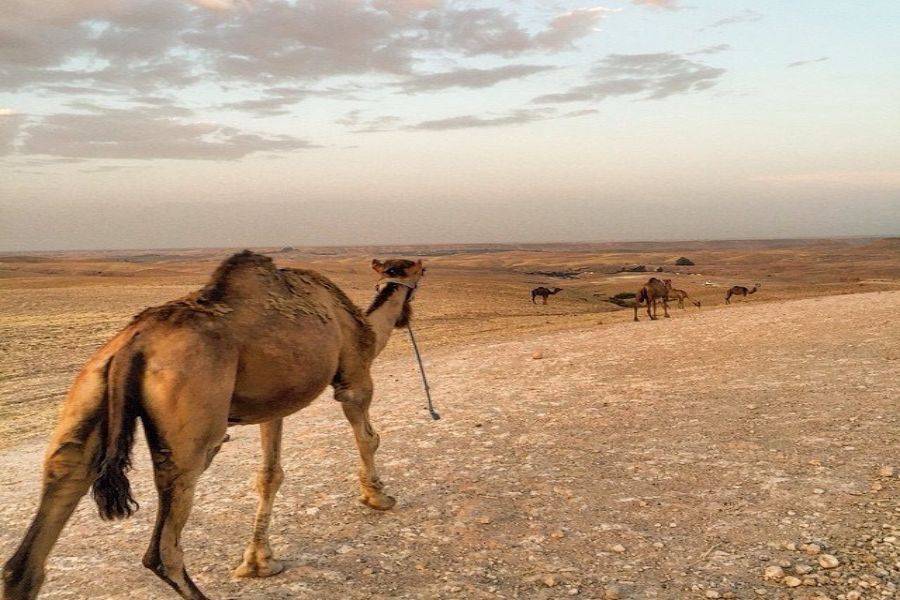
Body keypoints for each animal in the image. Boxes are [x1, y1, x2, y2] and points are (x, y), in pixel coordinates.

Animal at [2, 251, 425, 600]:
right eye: (419, 272)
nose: (407, 314)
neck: (363, 324)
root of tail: (131, 347)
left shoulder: (274, 404)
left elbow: (269, 475)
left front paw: (258, 562)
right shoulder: (354, 375)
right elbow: (368, 436)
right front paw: (378, 497)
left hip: (88, 391)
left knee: (51, 508)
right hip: (191, 424)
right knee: (164, 550)